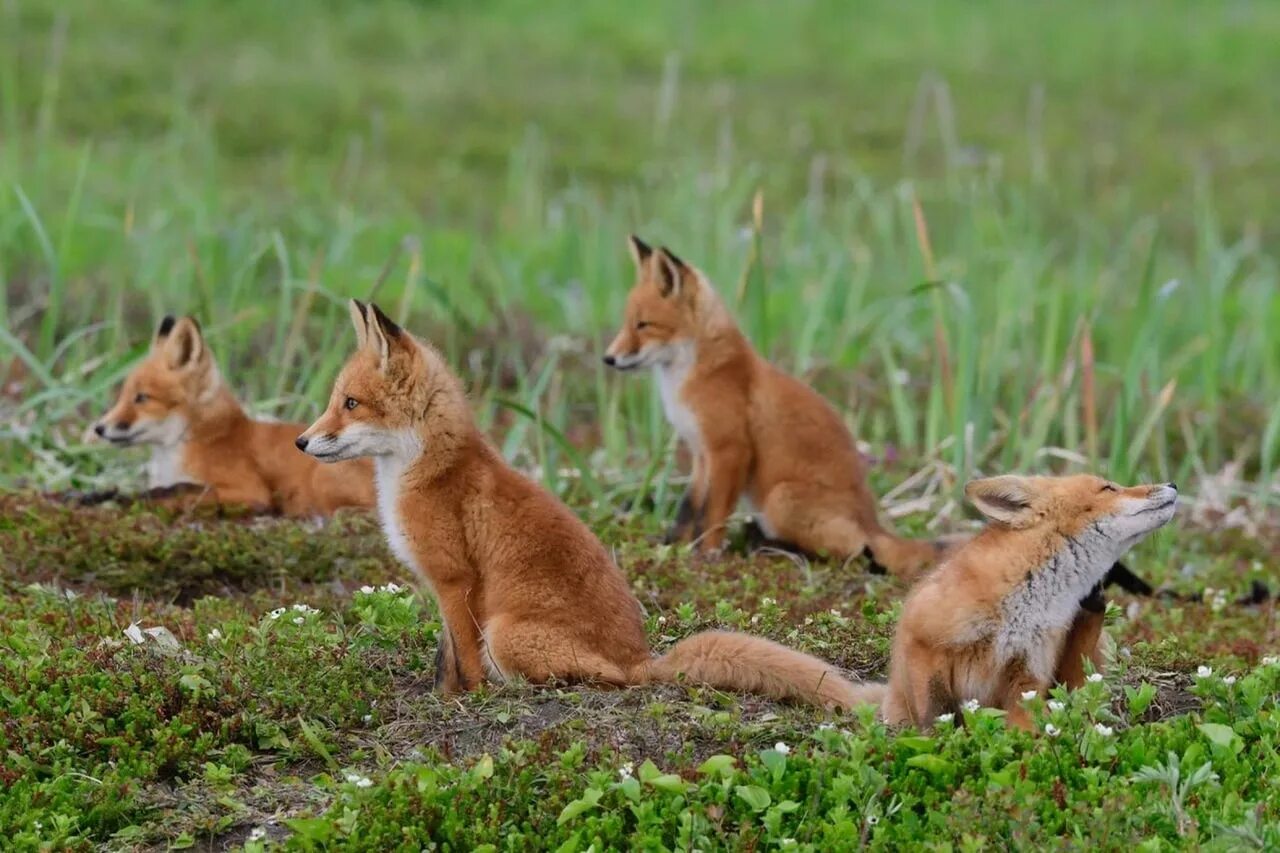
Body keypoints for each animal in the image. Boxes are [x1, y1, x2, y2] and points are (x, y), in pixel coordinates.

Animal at [90, 315, 373, 514]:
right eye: (124, 395)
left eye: (141, 398)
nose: (99, 428)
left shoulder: (250, 491)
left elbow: (186, 493)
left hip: (319, 480)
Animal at [296, 298, 890, 701]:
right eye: (335, 401)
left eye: (350, 403)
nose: (301, 441)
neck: (427, 472)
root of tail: (642, 659)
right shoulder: (441, 587)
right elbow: (446, 658)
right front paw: (443, 695)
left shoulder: (455, 580)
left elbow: (462, 658)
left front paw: (466, 701)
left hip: (506, 632)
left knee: (590, 679)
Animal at [599, 233, 942, 578]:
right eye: (627, 323)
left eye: (643, 325)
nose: (608, 359)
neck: (693, 376)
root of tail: (872, 521)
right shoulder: (701, 453)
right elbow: (689, 508)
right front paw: (672, 547)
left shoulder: (731, 450)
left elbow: (713, 513)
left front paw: (707, 555)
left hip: (780, 499)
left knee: (856, 552)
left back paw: (779, 549)